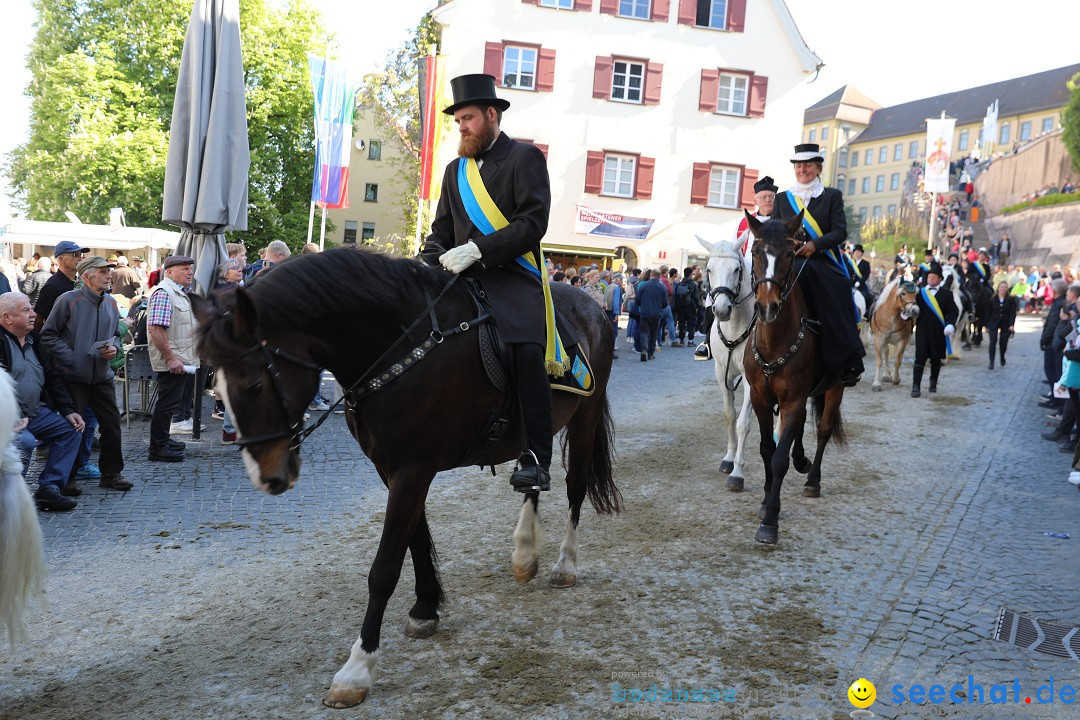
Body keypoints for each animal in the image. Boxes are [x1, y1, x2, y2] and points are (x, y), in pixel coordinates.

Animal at [190, 249, 622, 708]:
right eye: (215, 386)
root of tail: (594, 305)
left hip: (585, 417)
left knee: (575, 486)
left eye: (254, 385)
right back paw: (525, 554)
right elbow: (415, 539)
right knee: (534, 474)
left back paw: (564, 564)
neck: (401, 343)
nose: (268, 477)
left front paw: (357, 669)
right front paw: (425, 609)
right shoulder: (393, 469)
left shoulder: (413, 469)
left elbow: (384, 569)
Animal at [743, 212, 842, 546]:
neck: (775, 341)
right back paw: (802, 460)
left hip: (836, 386)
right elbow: (766, 449)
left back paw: (813, 479)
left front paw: (770, 521)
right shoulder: (761, 399)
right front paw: (764, 502)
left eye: (789, 254)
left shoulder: (793, 400)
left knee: (823, 430)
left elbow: (779, 459)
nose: (767, 307)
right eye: (755, 252)